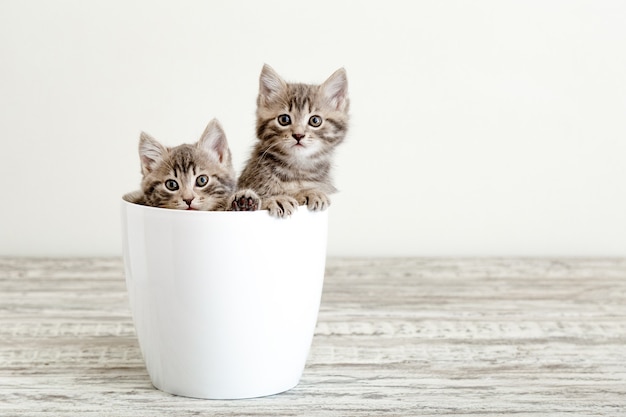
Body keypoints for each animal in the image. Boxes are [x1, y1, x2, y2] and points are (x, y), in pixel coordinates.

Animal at [235, 64, 348, 218]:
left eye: (315, 120)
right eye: (284, 119)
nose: (298, 135)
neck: (297, 169)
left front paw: (310, 192)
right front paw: (277, 199)